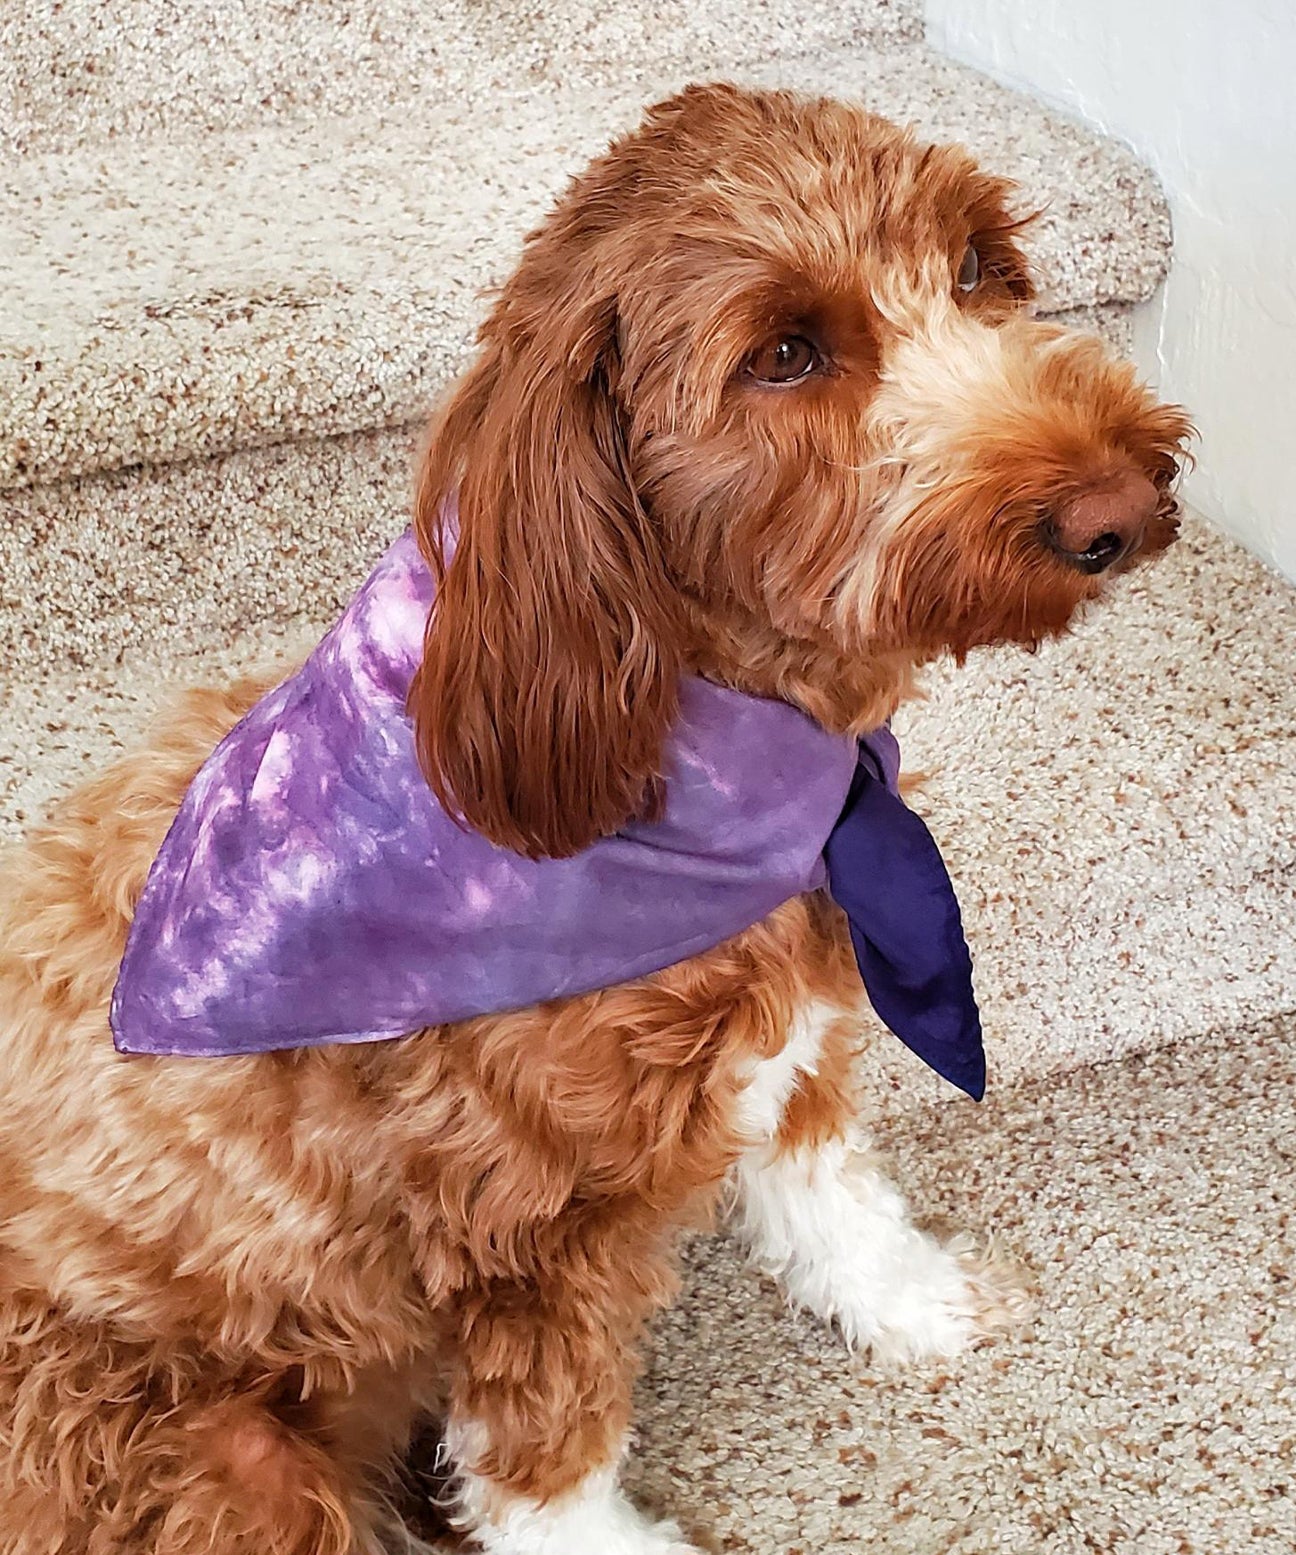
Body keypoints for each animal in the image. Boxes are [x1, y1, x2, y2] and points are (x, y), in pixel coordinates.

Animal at [0, 85, 1182, 1555]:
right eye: (784, 354)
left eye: (978, 267)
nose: (1121, 506)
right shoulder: (524, 1229)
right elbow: (545, 1457)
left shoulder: (788, 1025)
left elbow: (829, 1191)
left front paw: (916, 1301)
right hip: (223, 1459)